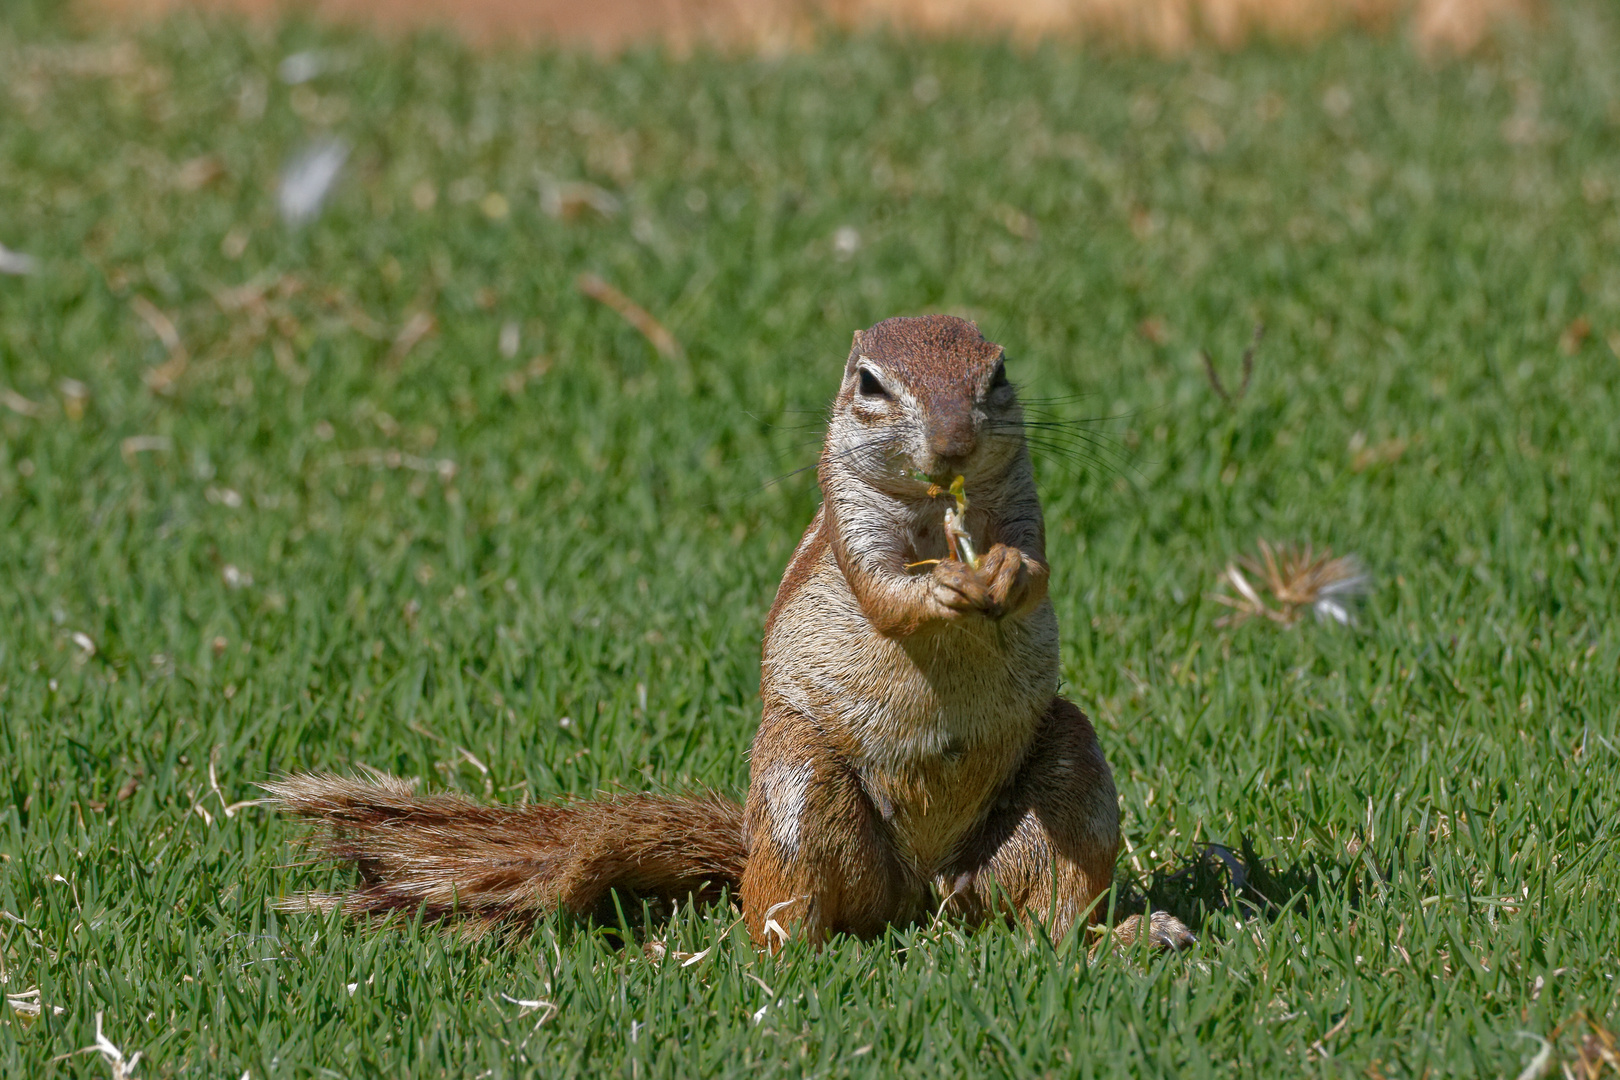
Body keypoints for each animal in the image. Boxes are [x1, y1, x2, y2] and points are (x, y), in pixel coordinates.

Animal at [272, 314, 1198, 952]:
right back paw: (797, 957)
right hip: (796, 788)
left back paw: (1122, 937)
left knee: (1045, 911)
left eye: (997, 374)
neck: (940, 518)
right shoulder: (848, 522)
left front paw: (1001, 575)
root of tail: (918, 892)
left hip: (1064, 778)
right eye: (871, 384)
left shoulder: (1025, 503)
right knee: (789, 908)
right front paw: (942, 591)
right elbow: (883, 591)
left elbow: (1036, 563)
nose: (952, 444)